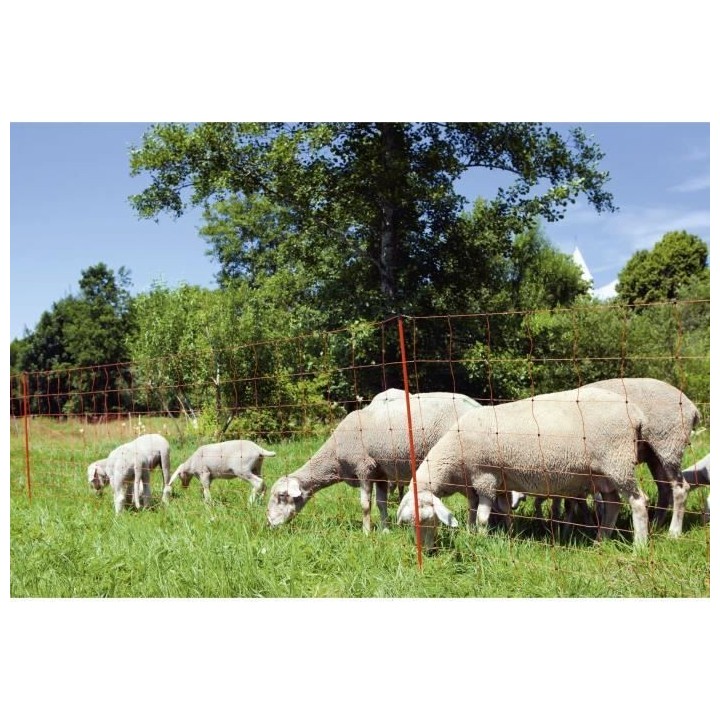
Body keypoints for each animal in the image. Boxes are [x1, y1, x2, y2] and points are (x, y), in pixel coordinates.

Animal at [266, 391, 481, 532]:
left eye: (281, 496)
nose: (269, 523)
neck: (334, 455)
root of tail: (477, 406)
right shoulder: (381, 474)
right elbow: (381, 503)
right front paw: (385, 530)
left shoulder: (364, 468)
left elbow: (365, 504)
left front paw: (366, 532)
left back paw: (471, 530)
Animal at [397, 387, 651, 550]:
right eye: (409, 524)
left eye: (429, 520)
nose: (427, 552)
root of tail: (636, 413)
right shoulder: (481, 485)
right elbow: (479, 513)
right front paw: (489, 534)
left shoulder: (486, 477)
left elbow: (482, 517)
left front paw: (481, 539)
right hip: (602, 473)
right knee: (613, 503)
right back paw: (601, 541)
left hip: (618, 460)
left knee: (638, 501)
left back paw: (639, 547)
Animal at [584, 378, 700, 536]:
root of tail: (692, 407)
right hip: (654, 454)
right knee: (664, 488)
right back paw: (655, 526)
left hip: (669, 444)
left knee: (680, 488)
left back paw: (673, 532)